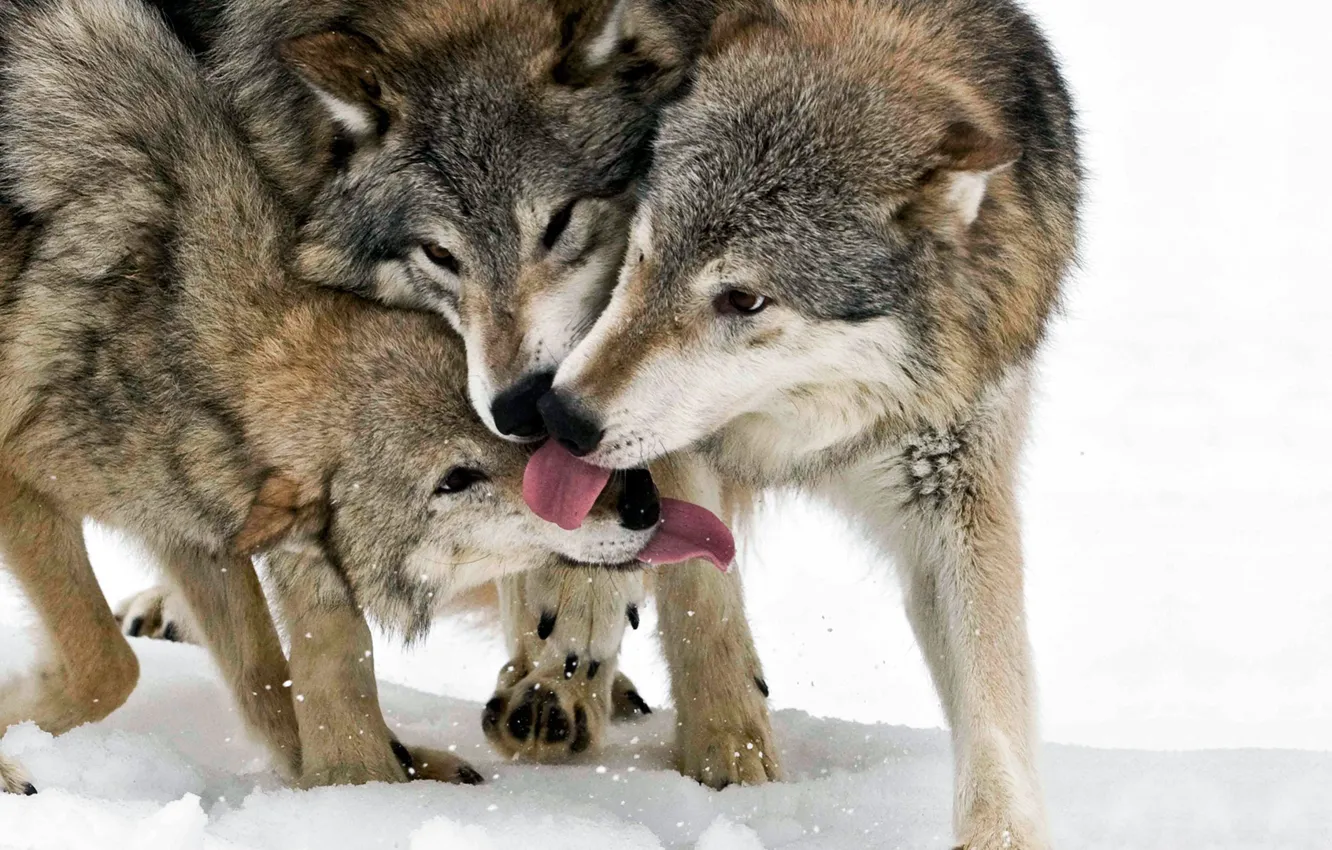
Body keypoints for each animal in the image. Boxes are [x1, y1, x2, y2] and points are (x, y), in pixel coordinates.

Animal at [0, 0, 661, 793]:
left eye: (526, 435)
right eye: (454, 480)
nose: (642, 501)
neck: (176, 319)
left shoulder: (194, 527)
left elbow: (268, 682)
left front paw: (368, 777)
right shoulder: (21, 484)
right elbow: (109, 665)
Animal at [121, 0, 781, 783]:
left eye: (559, 222)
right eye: (440, 254)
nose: (521, 408)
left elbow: (679, 563)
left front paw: (728, 749)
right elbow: (327, 604)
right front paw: (354, 779)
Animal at [533, 0, 1083, 846]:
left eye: (745, 299)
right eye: (645, 252)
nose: (563, 416)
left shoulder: (955, 488)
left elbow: (995, 706)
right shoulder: (676, 446)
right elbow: (702, 598)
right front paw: (728, 757)